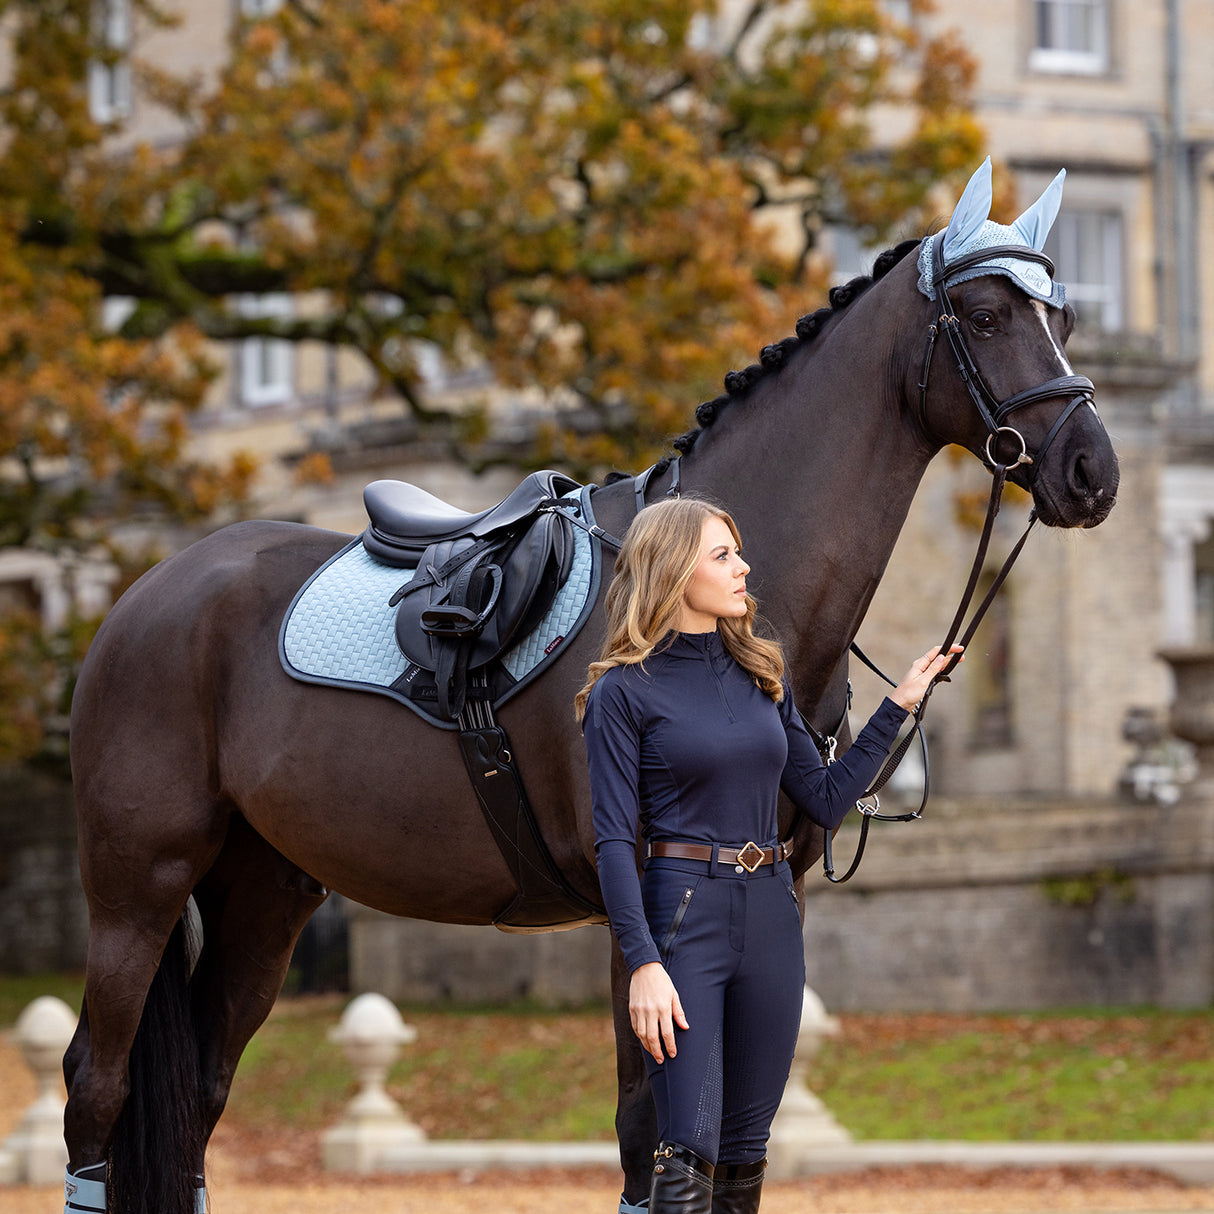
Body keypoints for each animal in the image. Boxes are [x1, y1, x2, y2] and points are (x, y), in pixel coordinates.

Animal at [59, 163, 1116, 1214]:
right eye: (984, 315)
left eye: (1061, 310)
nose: (1091, 470)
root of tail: (147, 594)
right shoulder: (640, 914)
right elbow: (652, 1137)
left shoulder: (777, 897)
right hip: (138, 886)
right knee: (95, 1087)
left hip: (264, 892)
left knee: (200, 1092)